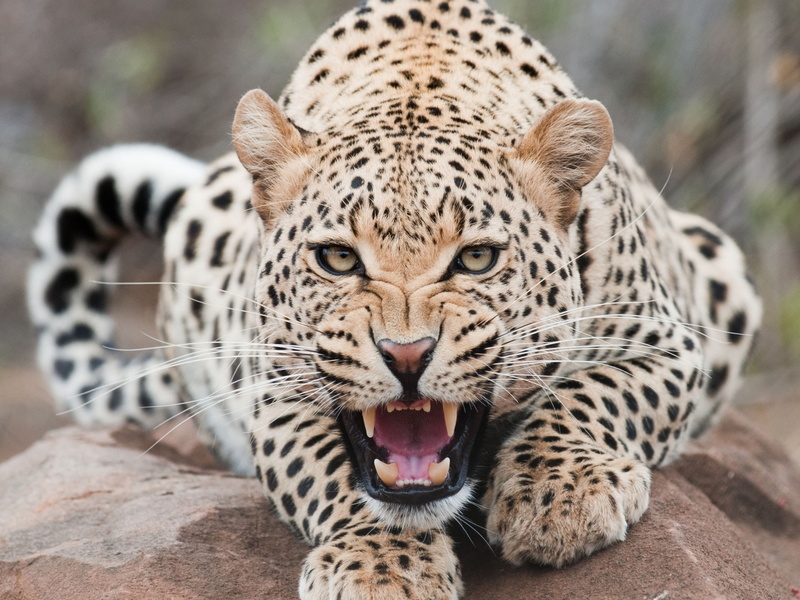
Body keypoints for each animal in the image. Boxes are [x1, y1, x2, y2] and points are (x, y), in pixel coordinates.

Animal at [28, 0, 762, 598]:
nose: (407, 355)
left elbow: (593, 395)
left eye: (476, 258)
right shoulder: (277, 391)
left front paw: (558, 498)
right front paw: (382, 568)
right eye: (337, 258)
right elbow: (332, 475)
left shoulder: (668, 342)